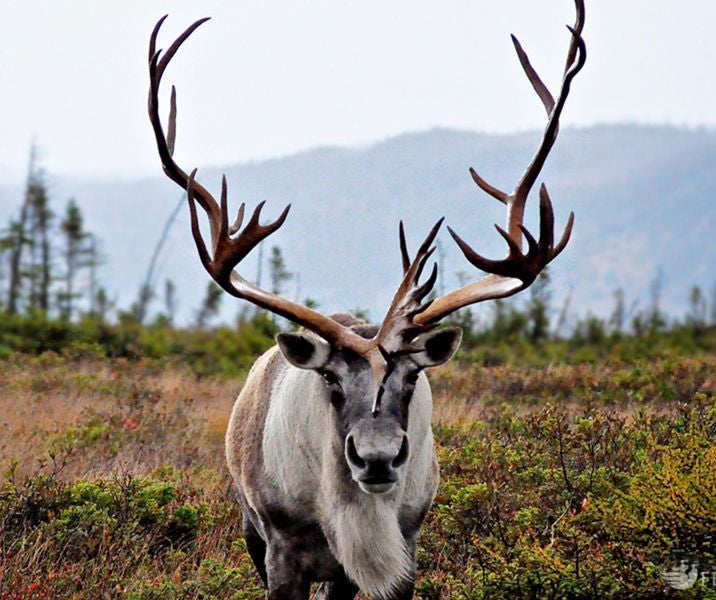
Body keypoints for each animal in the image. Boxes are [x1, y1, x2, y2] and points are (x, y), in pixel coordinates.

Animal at [148, 2, 585, 598]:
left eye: (413, 377)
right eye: (330, 380)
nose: (377, 457)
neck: (351, 524)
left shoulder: (403, 554)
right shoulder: (281, 551)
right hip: (250, 526)